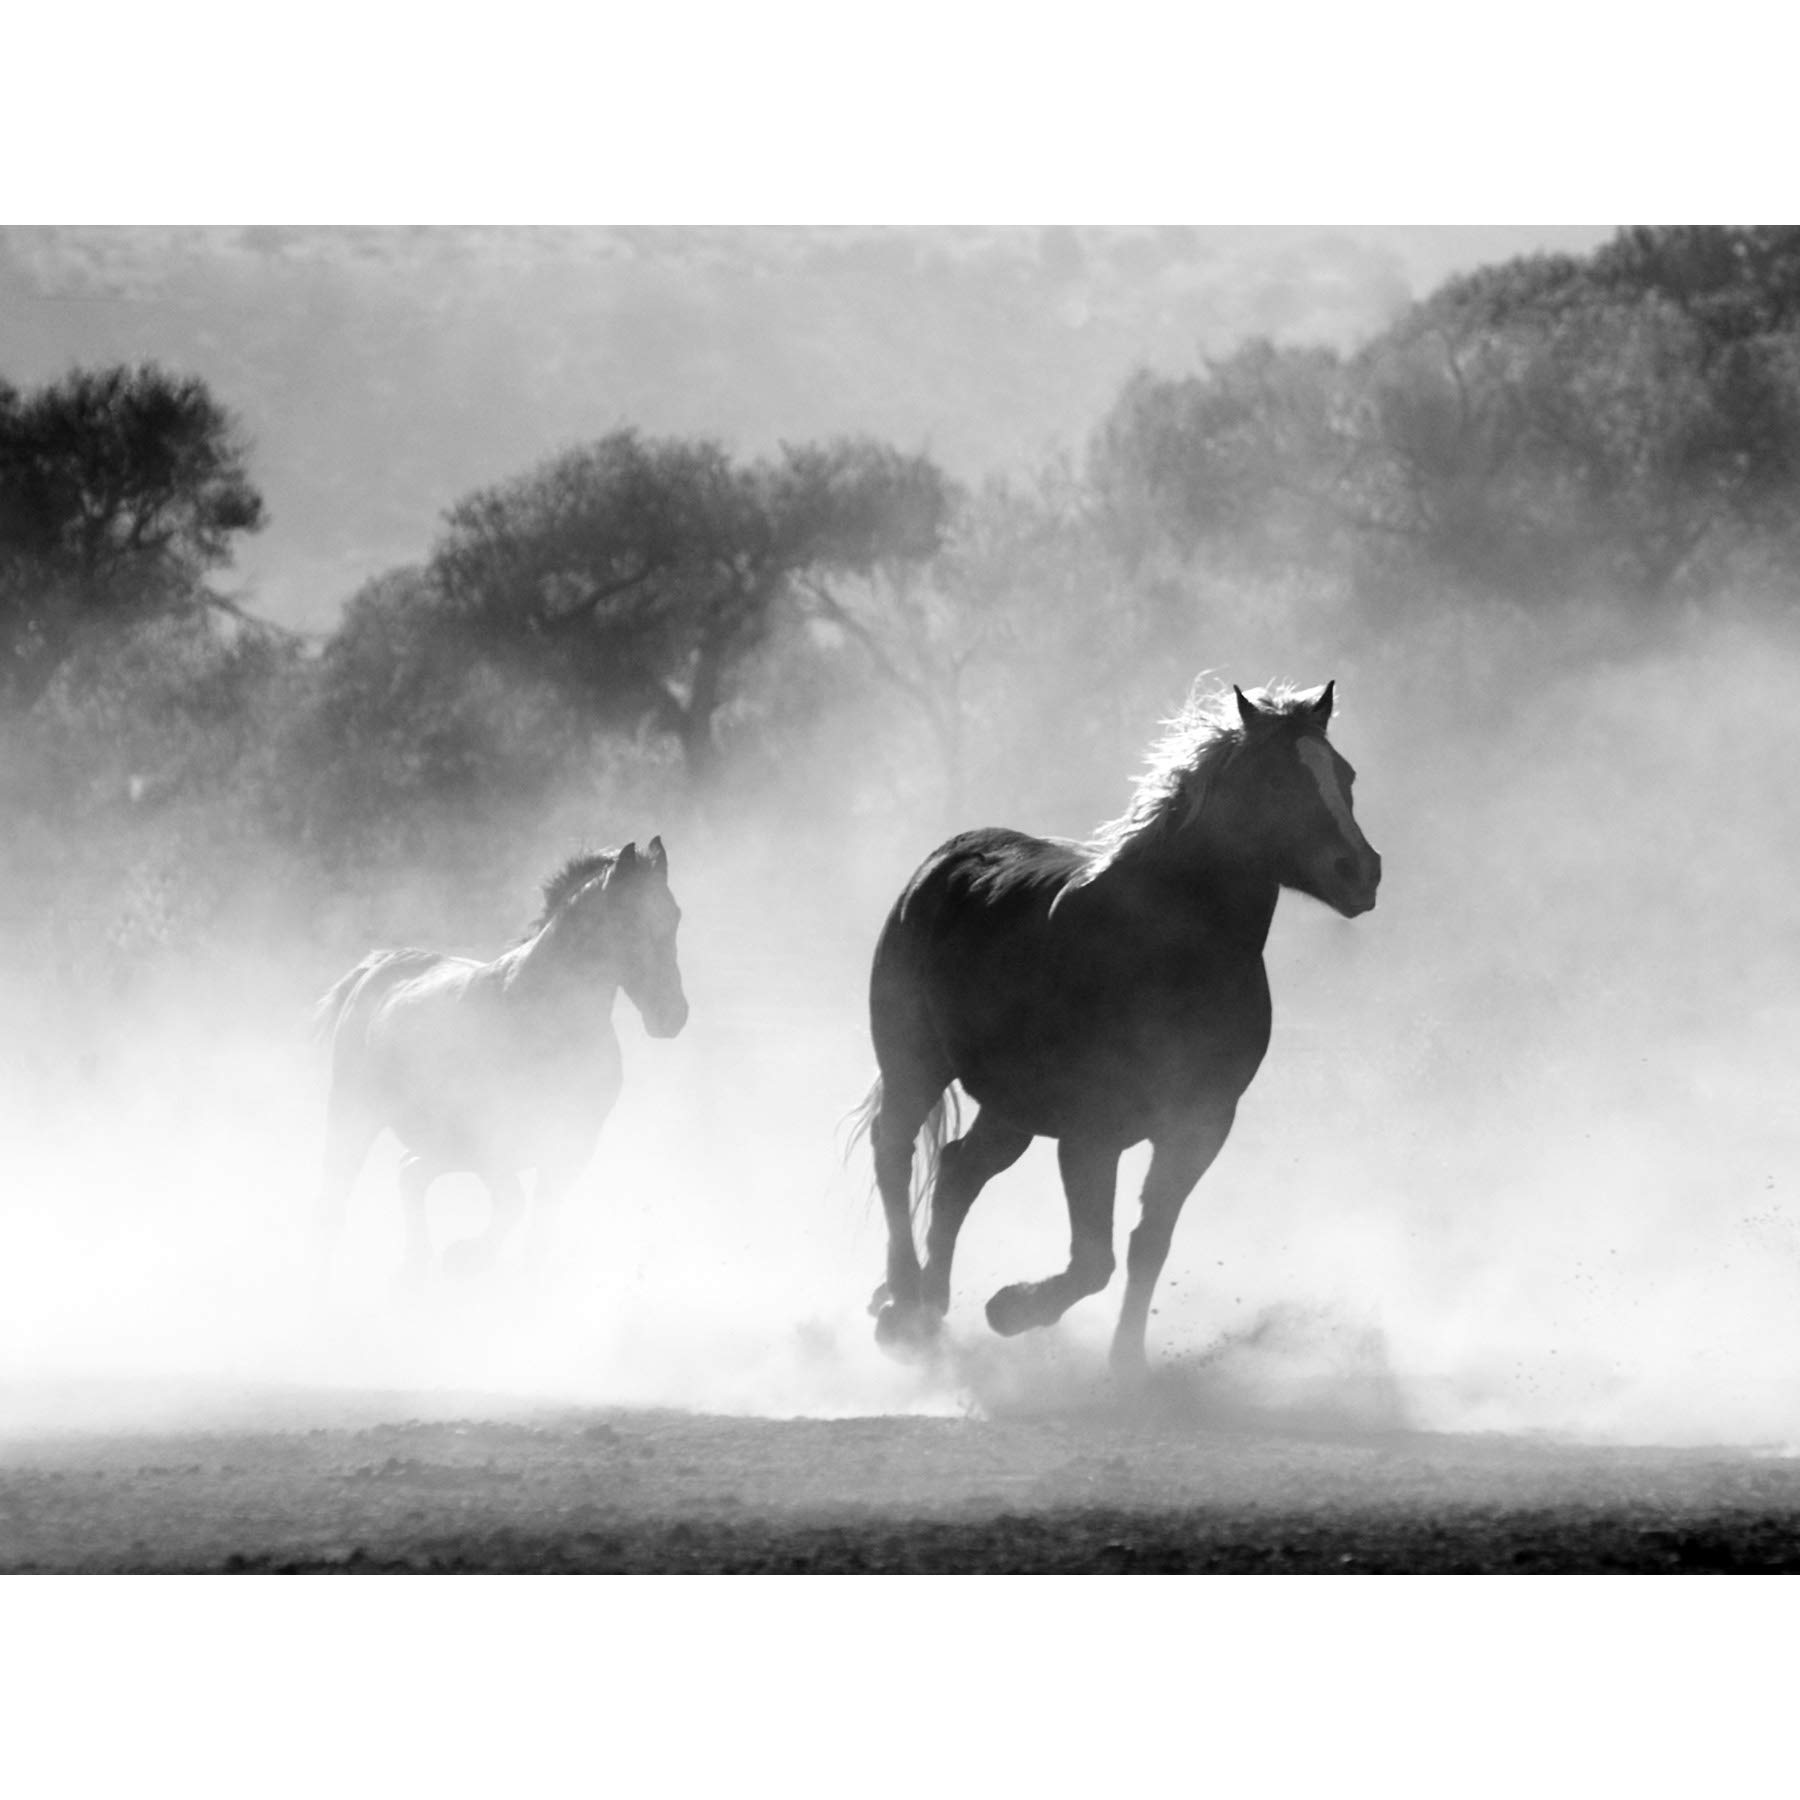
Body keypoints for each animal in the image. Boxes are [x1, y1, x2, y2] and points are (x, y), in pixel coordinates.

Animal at [314, 838, 688, 1279]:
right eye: (629, 920)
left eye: (675, 915)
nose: (672, 1015)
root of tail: (377, 966)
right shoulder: (492, 1143)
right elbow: (513, 1204)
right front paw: (465, 1256)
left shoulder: (570, 1147)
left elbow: (538, 1231)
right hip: (355, 1113)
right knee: (339, 1193)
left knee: (409, 1173)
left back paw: (416, 1267)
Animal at [858, 680, 1380, 1376]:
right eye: (1276, 780)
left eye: (1344, 775)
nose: (1361, 871)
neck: (1167, 953)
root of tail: (943, 862)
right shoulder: (1091, 1134)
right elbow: (1093, 1260)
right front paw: (1011, 1309)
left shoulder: (1199, 1126)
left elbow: (1147, 1244)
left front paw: (1126, 1364)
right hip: (914, 1064)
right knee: (895, 1153)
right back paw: (905, 1306)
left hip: (1011, 1107)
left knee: (957, 1170)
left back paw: (931, 1308)